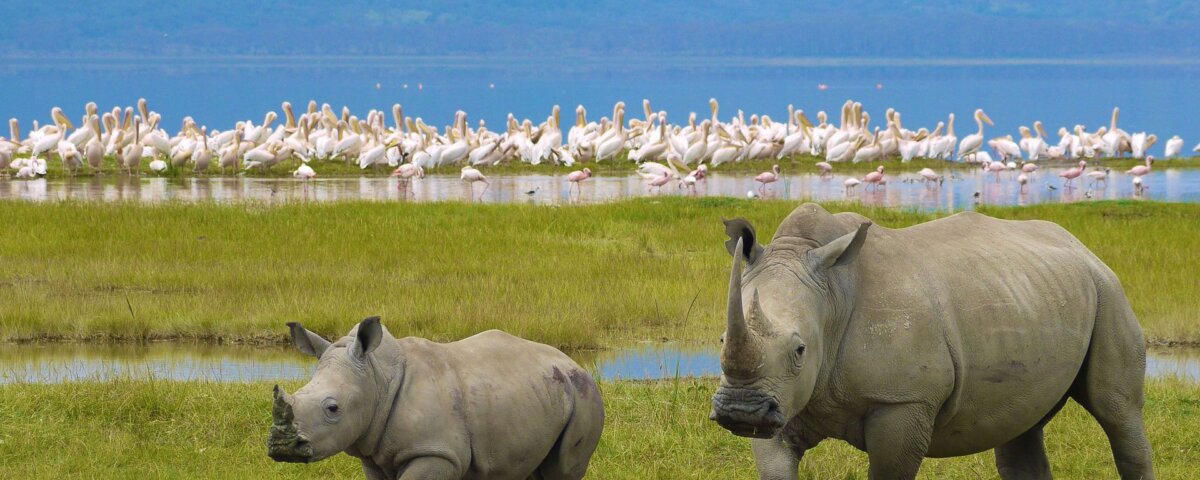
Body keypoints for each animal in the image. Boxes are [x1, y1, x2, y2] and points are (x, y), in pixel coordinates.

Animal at [268, 317, 604, 479]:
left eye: (332, 408)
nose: (281, 447)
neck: (377, 378)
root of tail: (574, 363)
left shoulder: (435, 451)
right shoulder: (373, 454)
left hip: (584, 394)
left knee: (564, 469)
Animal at [709, 204, 1153, 479]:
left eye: (800, 350)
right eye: (721, 339)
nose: (740, 412)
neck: (832, 294)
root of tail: (1081, 246)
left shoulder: (903, 401)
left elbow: (889, 472)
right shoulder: (781, 398)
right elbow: (774, 465)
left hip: (1109, 292)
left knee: (1117, 411)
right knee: (1023, 425)